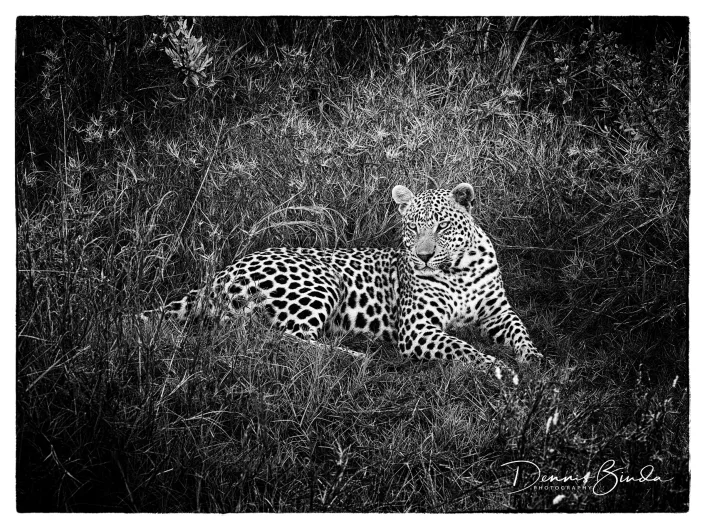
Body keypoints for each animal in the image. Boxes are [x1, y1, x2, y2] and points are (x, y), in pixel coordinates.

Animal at [144, 183, 542, 384]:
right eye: (413, 227)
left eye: (442, 226)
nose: (424, 256)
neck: (457, 270)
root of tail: (222, 272)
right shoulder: (417, 329)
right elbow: (462, 348)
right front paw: (498, 366)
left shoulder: (497, 313)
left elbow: (520, 330)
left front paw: (533, 358)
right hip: (319, 282)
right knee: (278, 340)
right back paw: (355, 357)